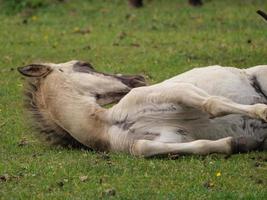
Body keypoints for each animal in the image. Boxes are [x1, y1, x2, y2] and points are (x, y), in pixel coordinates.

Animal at [17, 60, 267, 157]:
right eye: (85, 65)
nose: (137, 78)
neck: (108, 122)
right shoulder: (170, 138)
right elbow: (143, 147)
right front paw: (239, 143)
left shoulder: (180, 92)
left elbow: (212, 104)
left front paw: (263, 112)